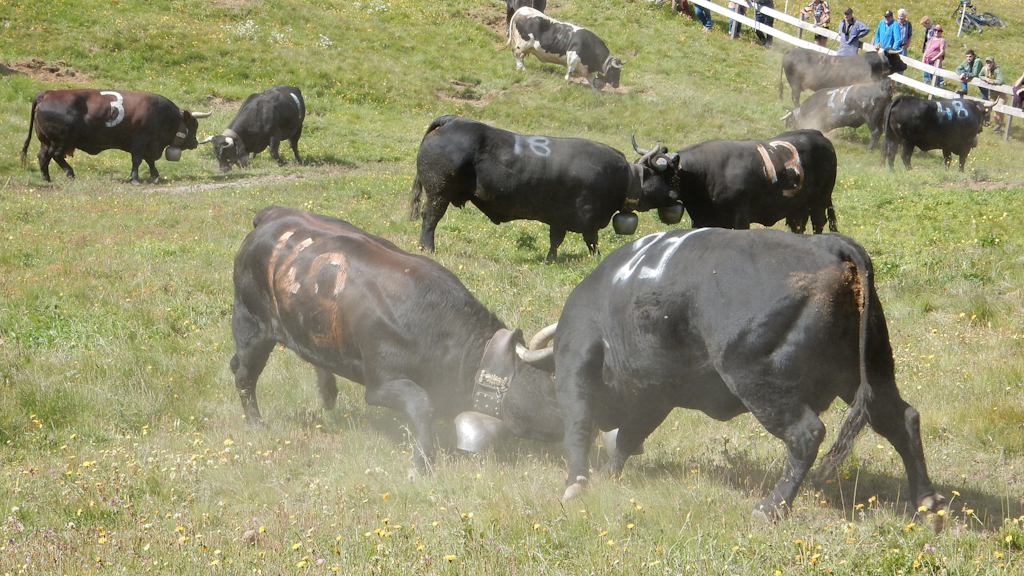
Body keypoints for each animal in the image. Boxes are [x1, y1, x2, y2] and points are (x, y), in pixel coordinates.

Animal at [20, 89, 211, 183]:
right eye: (193, 126)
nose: (195, 143)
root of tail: (47, 93)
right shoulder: (140, 141)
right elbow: (138, 160)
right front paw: (135, 179)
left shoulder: (149, 145)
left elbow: (150, 160)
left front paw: (155, 175)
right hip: (61, 140)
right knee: (56, 155)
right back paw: (70, 173)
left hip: (46, 141)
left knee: (43, 156)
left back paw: (47, 179)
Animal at [230, 206, 564, 470]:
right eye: (553, 381)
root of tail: (273, 214)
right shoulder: (380, 383)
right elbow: (422, 404)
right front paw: (422, 462)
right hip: (252, 324)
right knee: (244, 373)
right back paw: (257, 424)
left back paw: (327, 395)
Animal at [409, 115, 683, 263]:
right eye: (666, 177)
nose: (676, 196)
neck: (623, 177)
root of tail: (452, 120)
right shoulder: (589, 217)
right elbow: (592, 241)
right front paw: (597, 260)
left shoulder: (558, 219)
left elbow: (555, 241)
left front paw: (550, 259)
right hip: (439, 191)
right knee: (430, 217)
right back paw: (427, 248)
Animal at [553, 228, 948, 527]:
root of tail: (828, 244)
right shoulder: (655, 393)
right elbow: (628, 436)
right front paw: (607, 474)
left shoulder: (577, 358)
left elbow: (579, 424)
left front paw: (576, 483)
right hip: (865, 375)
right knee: (901, 418)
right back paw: (926, 499)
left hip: (758, 382)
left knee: (806, 434)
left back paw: (770, 507)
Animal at [632, 129, 839, 235]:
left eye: (648, 173)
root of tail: (819, 135)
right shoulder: (701, 220)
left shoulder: (741, 217)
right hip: (798, 205)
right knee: (799, 225)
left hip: (820, 199)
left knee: (818, 223)